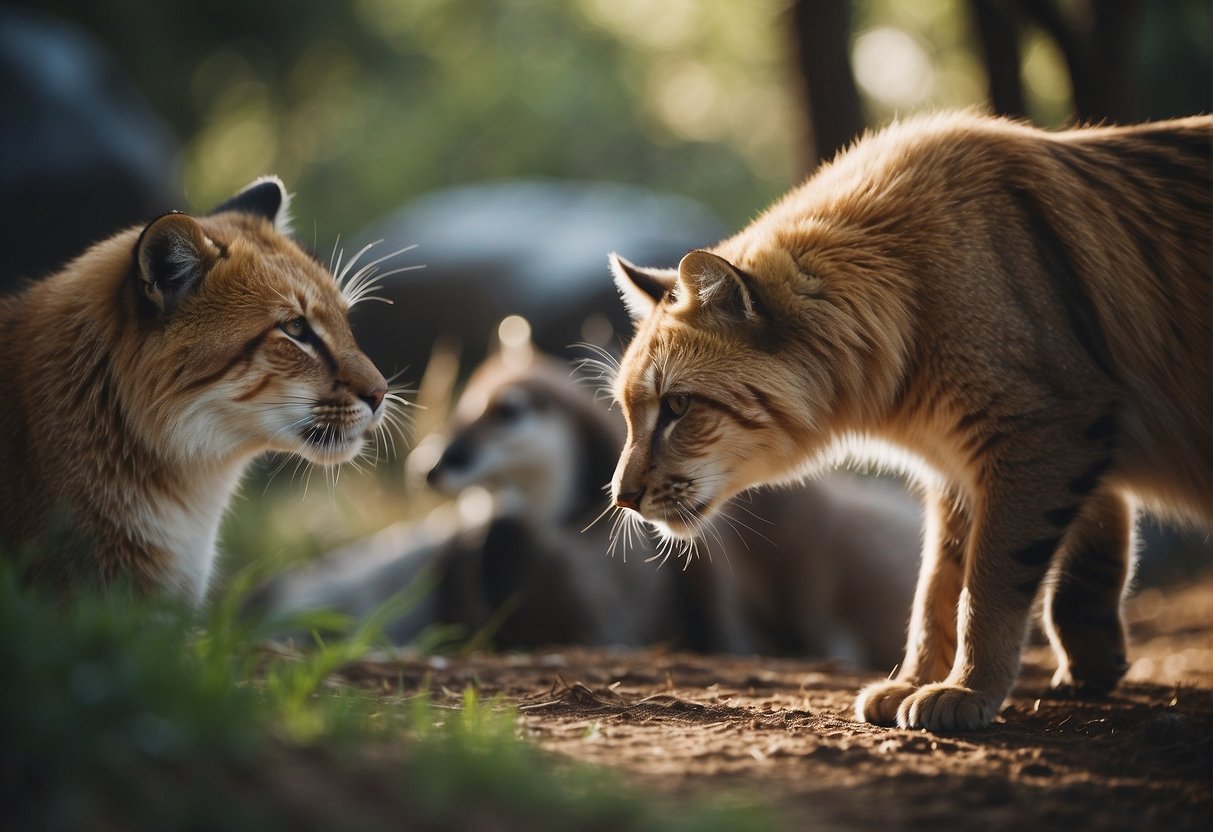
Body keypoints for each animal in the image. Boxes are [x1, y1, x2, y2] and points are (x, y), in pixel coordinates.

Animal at [611, 114, 1208, 732]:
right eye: (629, 412)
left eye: (678, 407)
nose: (620, 498)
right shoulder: (967, 465)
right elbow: (938, 586)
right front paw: (920, 681)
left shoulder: (1039, 431)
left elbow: (988, 583)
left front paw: (967, 690)